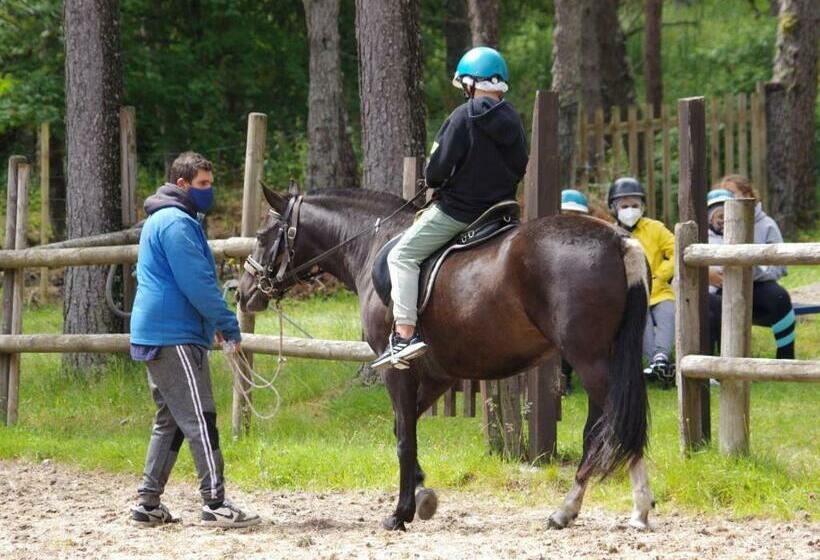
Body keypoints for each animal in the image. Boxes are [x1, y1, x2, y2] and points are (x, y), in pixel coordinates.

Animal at [237, 187, 652, 528]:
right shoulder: (439, 375)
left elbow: (404, 438)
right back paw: (587, 508)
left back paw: (621, 508)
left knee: (615, 425)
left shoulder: (397, 370)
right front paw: (422, 493)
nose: (242, 293)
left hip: (590, 361)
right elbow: (403, 429)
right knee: (605, 429)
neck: (372, 242)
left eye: (263, 237)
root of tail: (618, 239)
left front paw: (401, 512)